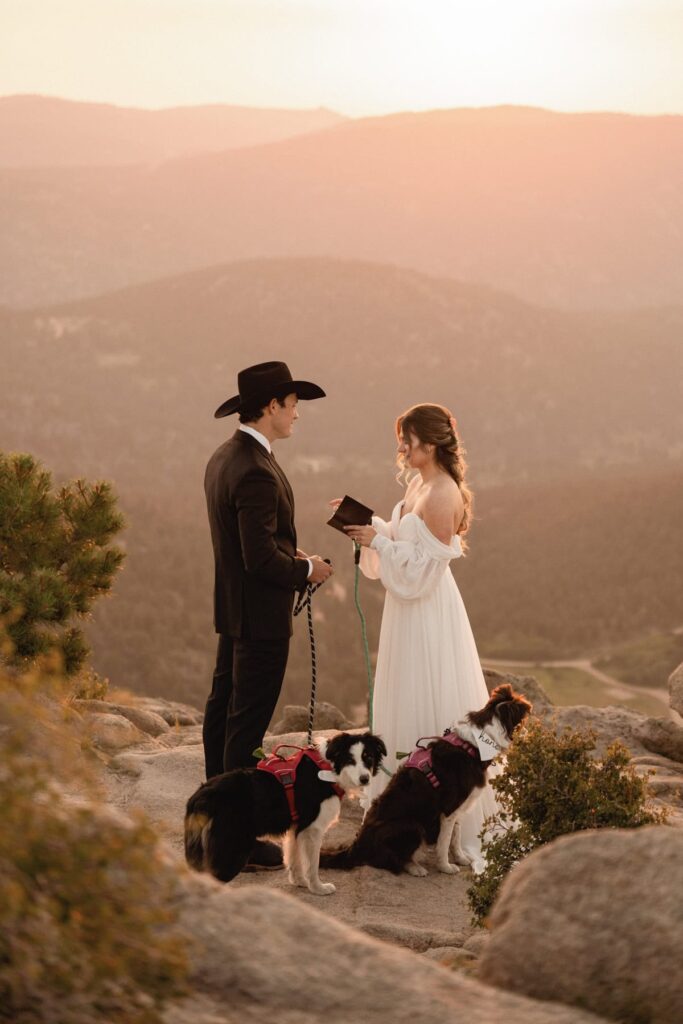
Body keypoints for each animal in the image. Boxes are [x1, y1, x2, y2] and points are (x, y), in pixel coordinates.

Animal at [184, 733, 387, 892]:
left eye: (368, 757)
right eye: (350, 760)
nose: (365, 779)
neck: (327, 768)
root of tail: (200, 797)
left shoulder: (296, 827)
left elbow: (294, 857)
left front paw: (300, 882)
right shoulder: (312, 828)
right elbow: (313, 863)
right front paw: (318, 888)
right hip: (232, 846)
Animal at [317, 684, 532, 876]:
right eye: (524, 720)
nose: (530, 735)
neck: (476, 743)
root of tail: (356, 846)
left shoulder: (458, 808)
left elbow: (456, 837)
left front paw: (461, 858)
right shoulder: (449, 808)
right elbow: (445, 841)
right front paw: (445, 867)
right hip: (412, 825)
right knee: (391, 861)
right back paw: (415, 868)